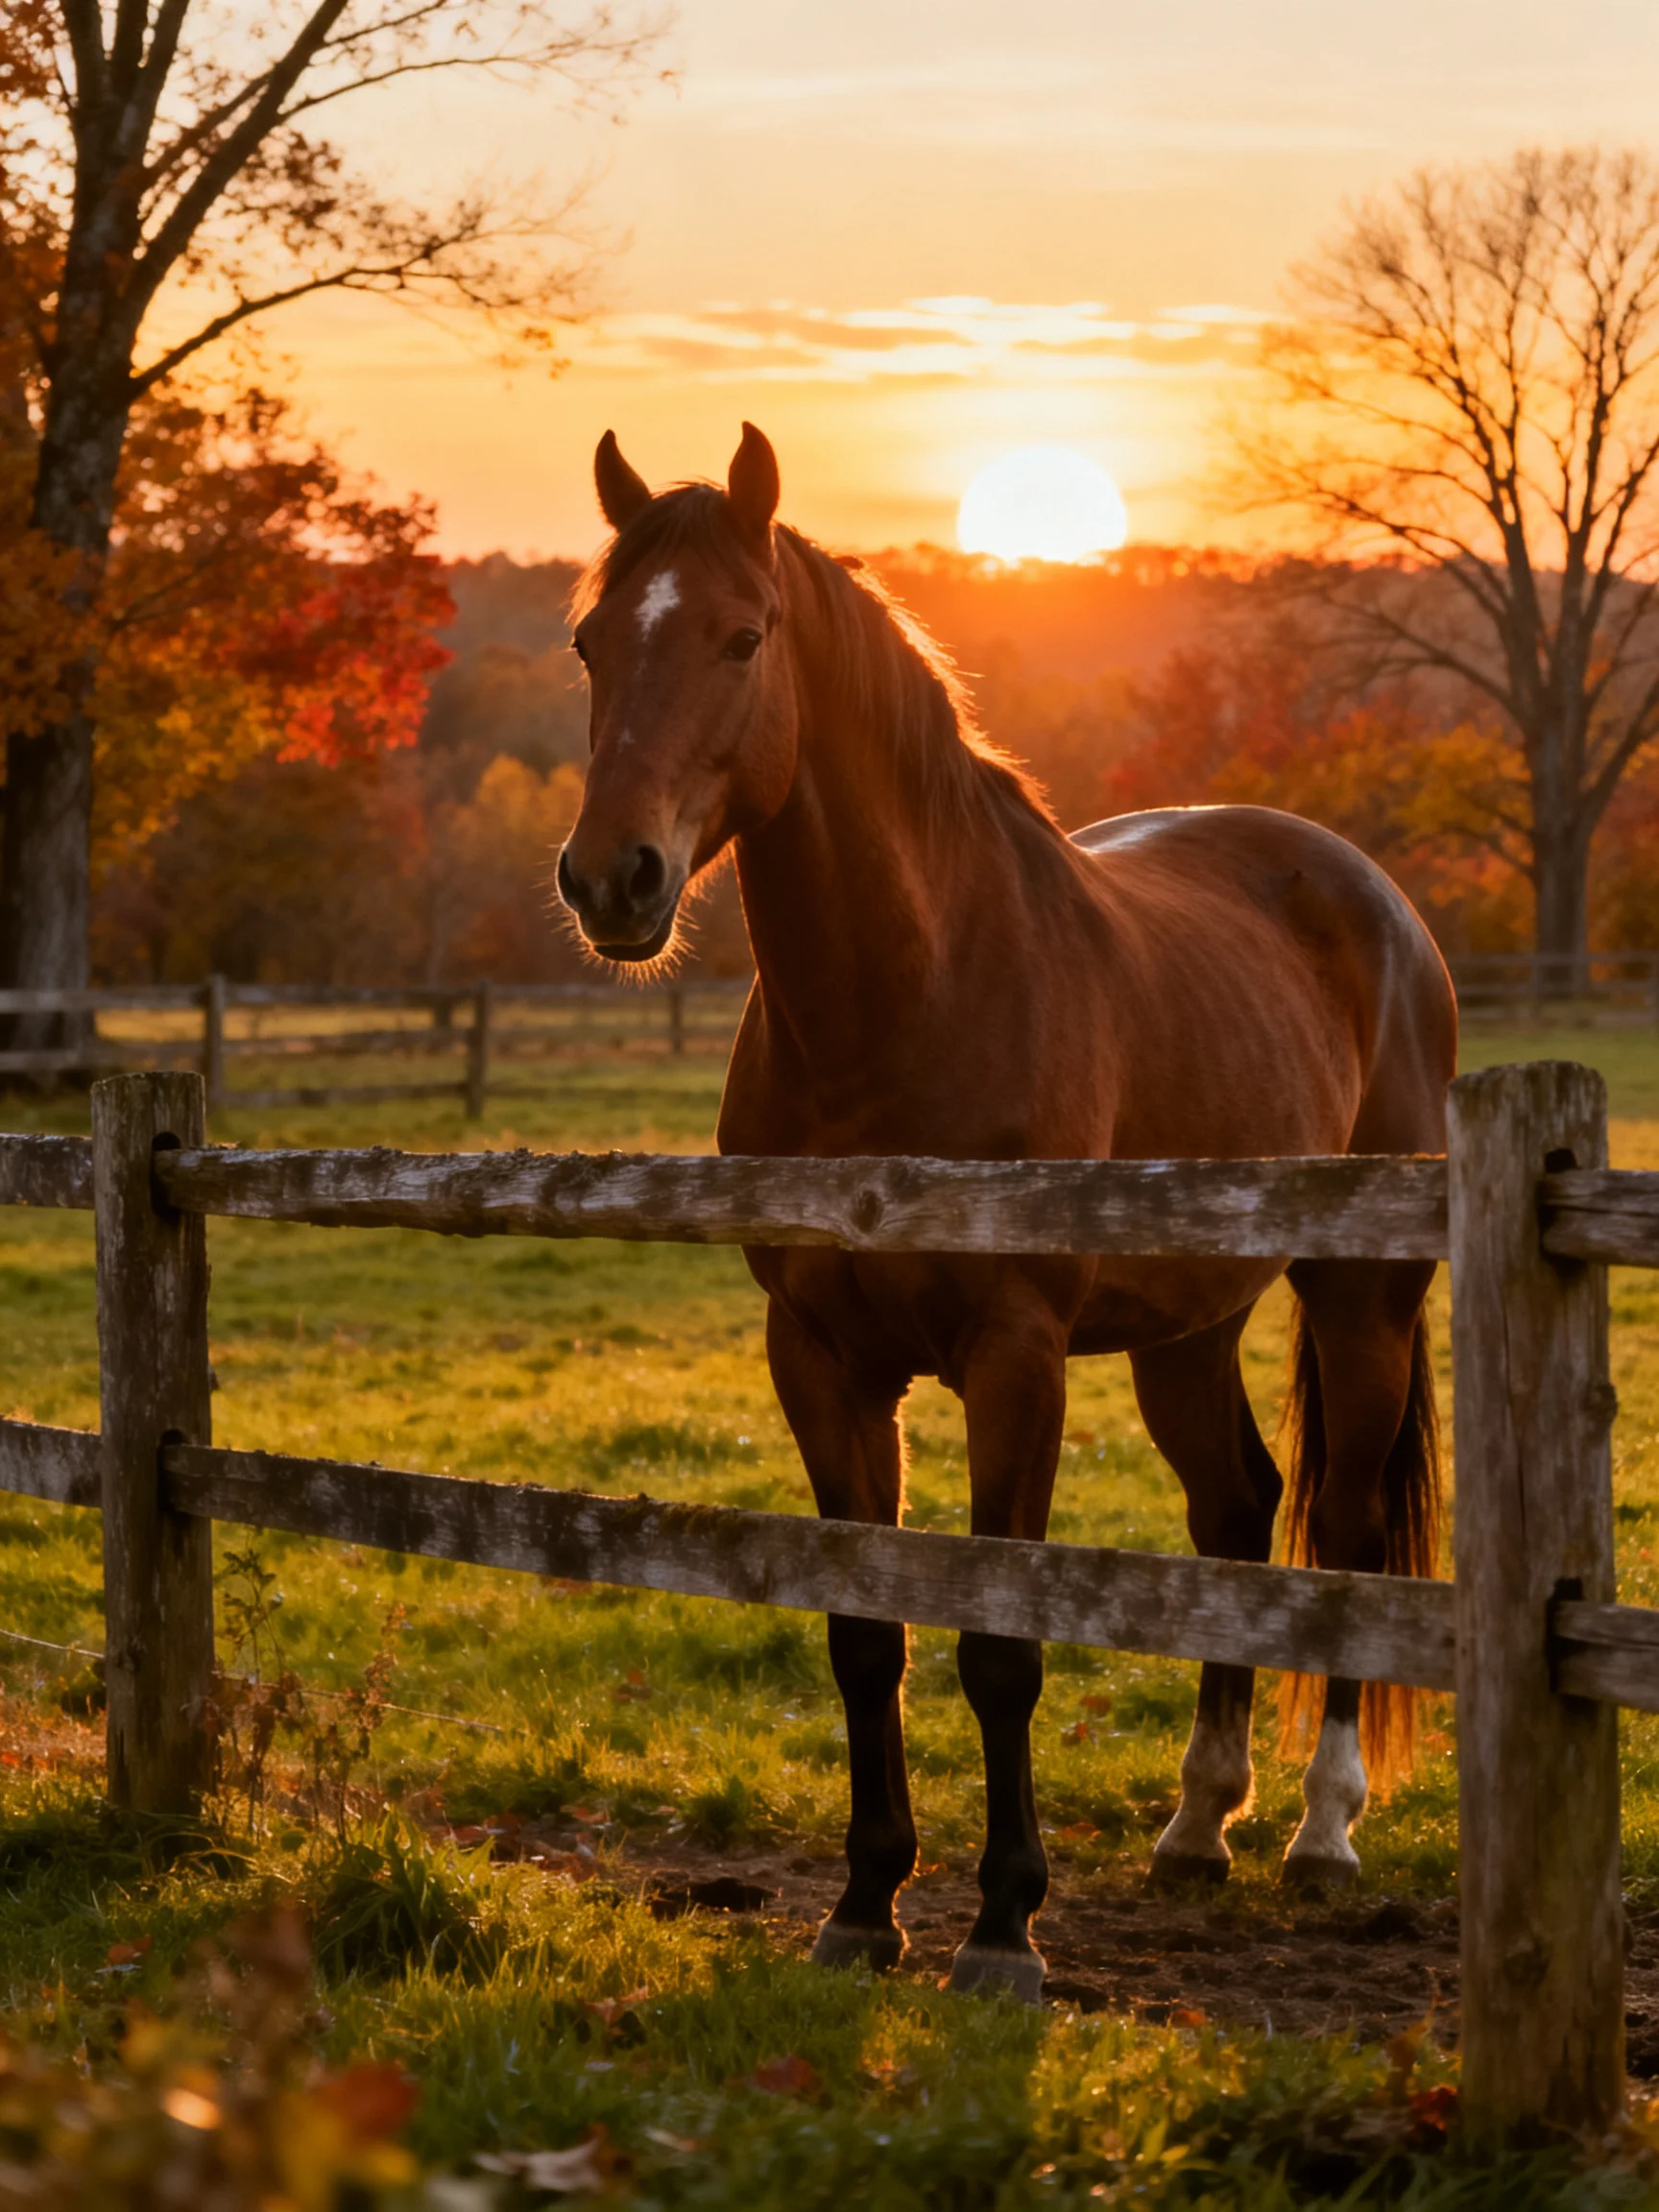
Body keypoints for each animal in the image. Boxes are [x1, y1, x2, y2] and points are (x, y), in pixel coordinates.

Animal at [556, 424, 1456, 2003]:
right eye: (593, 642)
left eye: (743, 636)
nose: (614, 879)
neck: (908, 998)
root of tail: (1375, 900)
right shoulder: (819, 1360)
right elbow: (867, 1633)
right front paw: (865, 1907)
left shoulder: (1014, 1358)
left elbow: (1001, 1644)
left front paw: (1002, 1928)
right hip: (1184, 1329)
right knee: (1238, 1511)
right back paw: (1197, 1824)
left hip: (1363, 1303)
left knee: (1340, 1530)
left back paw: (1322, 1831)